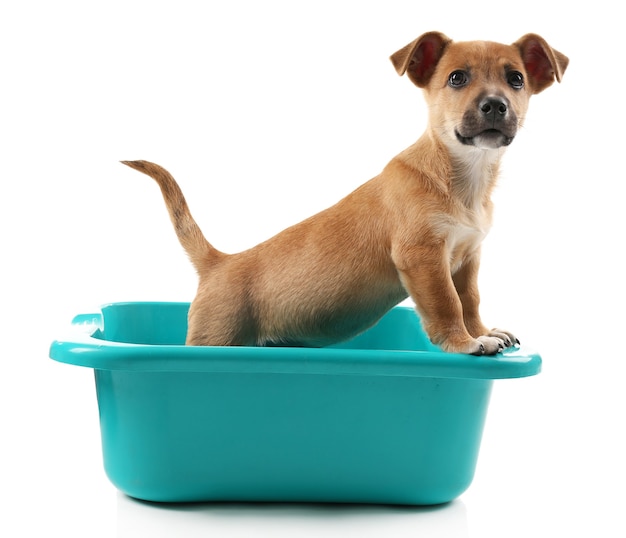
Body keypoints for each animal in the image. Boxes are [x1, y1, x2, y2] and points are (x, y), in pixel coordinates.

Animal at [122, 31, 564, 354]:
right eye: (457, 77)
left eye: (516, 79)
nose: (495, 105)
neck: (462, 175)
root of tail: (218, 263)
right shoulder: (423, 256)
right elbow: (447, 304)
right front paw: (464, 343)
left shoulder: (467, 258)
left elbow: (469, 300)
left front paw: (482, 330)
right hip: (216, 338)